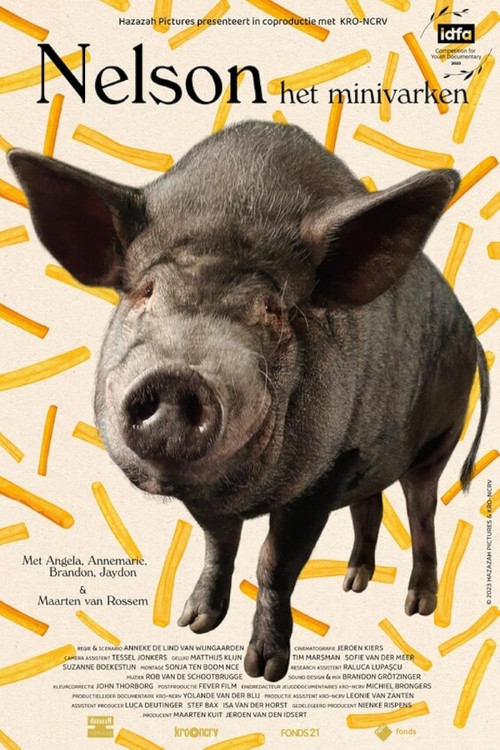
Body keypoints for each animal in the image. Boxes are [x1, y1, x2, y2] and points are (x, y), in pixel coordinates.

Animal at [8, 120, 489, 682]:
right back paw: (353, 582)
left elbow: (274, 562)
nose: (177, 376)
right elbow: (220, 544)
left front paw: (264, 670)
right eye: (145, 293)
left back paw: (418, 607)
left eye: (273, 311)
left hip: (439, 439)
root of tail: (472, 330)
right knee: (370, 504)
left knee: (421, 509)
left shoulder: (328, 469)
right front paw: (192, 623)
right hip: (371, 453)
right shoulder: (247, 490)